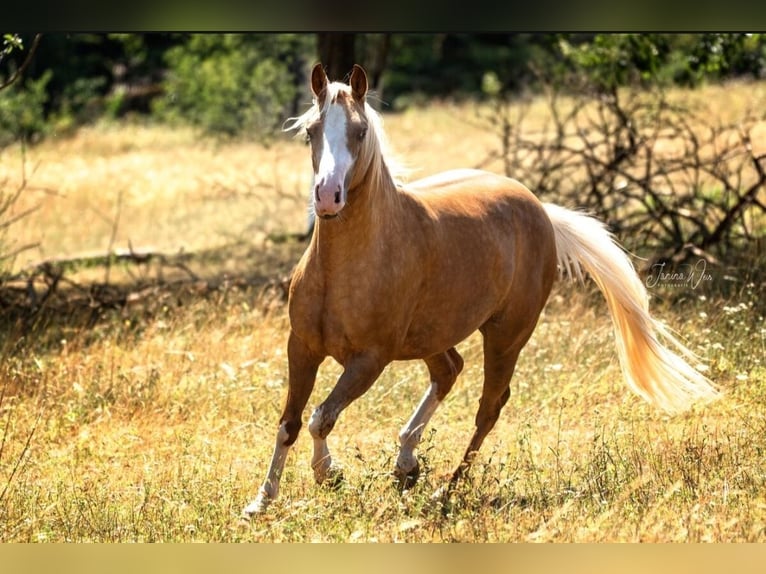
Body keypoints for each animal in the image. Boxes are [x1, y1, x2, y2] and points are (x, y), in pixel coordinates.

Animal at [242, 63, 719, 518]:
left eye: (360, 131)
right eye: (311, 130)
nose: (328, 196)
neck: (346, 267)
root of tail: (539, 209)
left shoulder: (370, 360)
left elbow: (321, 417)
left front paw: (329, 474)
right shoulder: (302, 347)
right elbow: (291, 422)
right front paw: (261, 501)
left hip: (506, 336)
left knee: (489, 405)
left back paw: (445, 489)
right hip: (433, 335)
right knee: (449, 371)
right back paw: (407, 464)